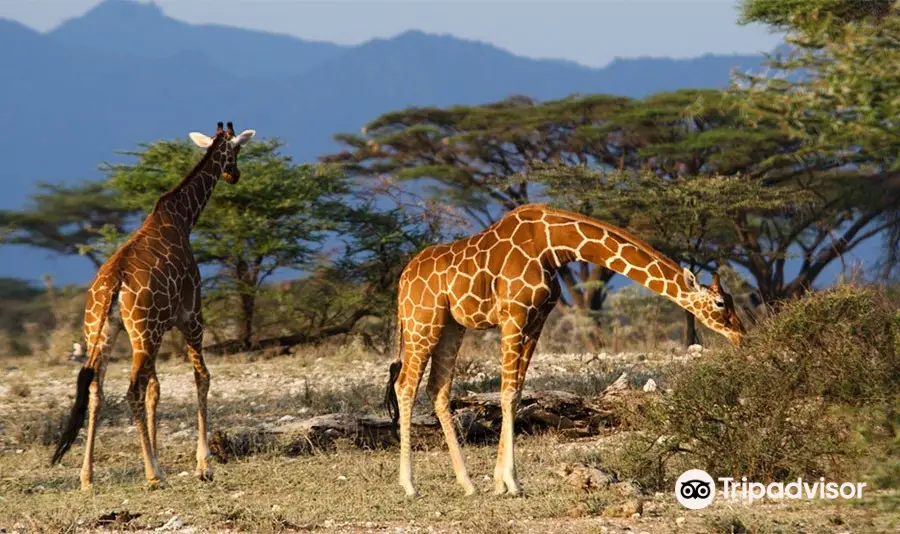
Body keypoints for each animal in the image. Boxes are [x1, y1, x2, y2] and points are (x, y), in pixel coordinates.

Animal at [51, 121, 256, 490]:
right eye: (235, 150)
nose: (234, 174)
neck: (182, 217)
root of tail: (114, 285)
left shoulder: (162, 328)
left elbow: (156, 389)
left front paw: (161, 455)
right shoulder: (192, 315)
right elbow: (201, 377)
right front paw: (204, 464)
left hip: (105, 333)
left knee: (97, 389)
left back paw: (87, 477)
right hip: (144, 333)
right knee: (131, 389)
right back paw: (153, 475)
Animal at [386, 202, 744, 498]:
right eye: (720, 303)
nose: (741, 335)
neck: (554, 245)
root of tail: (403, 281)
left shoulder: (537, 319)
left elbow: (516, 393)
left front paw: (501, 482)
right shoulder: (513, 316)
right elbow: (506, 393)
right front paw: (512, 482)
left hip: (450, 325)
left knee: (437, 390)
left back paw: (468, 484)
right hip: (422, 322)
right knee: (405, 386)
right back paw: (409, 486)